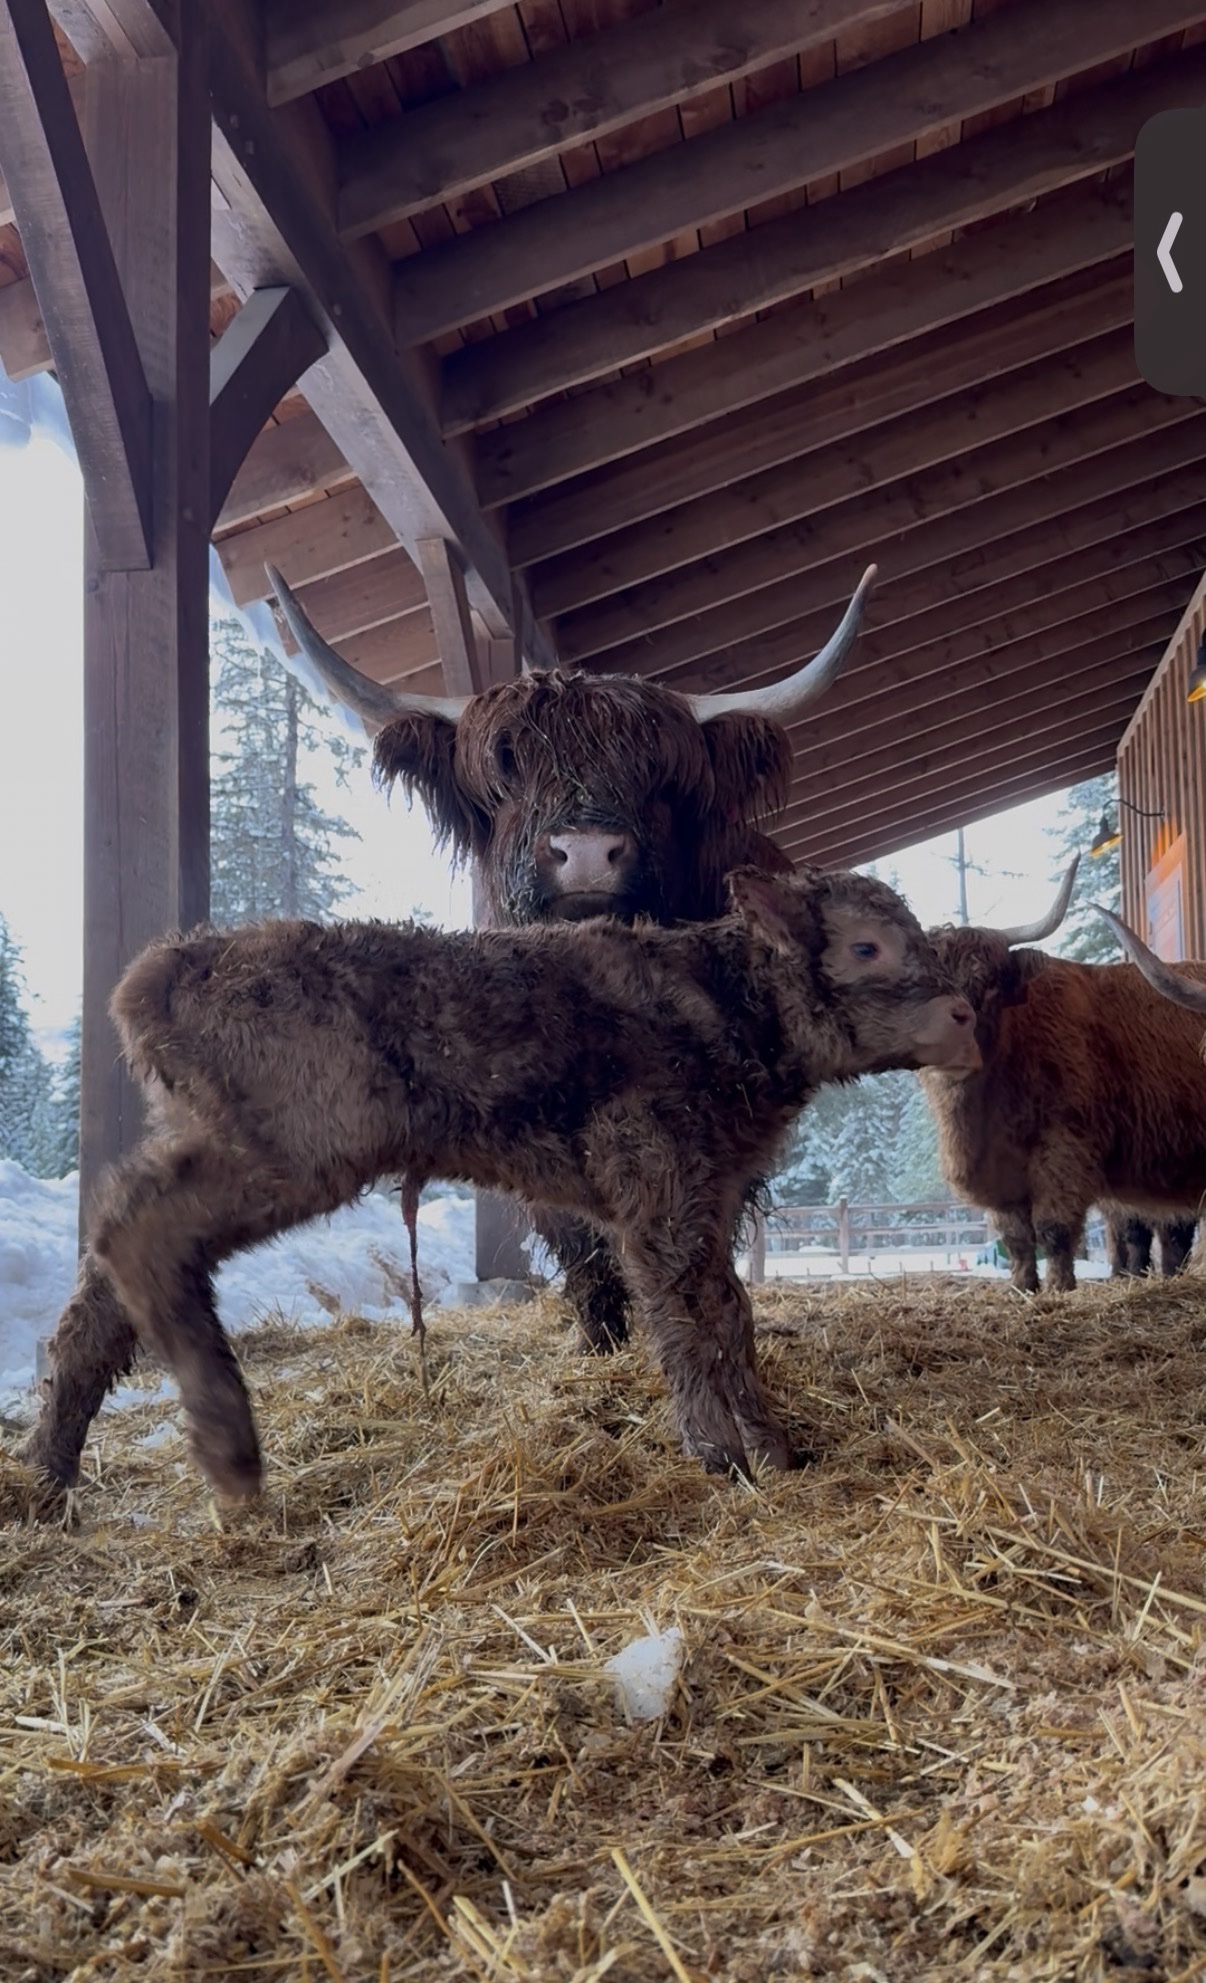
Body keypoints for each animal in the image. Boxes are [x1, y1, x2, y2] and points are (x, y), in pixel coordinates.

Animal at [26, 866, 978, 1500]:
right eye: (866, 945)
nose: (965, 1012)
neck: (728, 1006)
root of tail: (166, 968)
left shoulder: (706, 1194)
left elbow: (729, 1309)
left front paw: (773, 1445)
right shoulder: (657, 1178)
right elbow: (686, 1313)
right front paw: (722, 1453)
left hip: (226, 1135)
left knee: (108, 1267)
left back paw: (50, 1472)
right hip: (301, 1139)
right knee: (137, 1229)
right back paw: (227, 1449)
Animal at [920, 860, 1206, 1292]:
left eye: (988, 984)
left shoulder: (1065, 1154)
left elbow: (1053, 1230)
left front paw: (1058, 1288)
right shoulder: (1003, 1180)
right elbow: (1017, 1239)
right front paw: (1023, 1288)